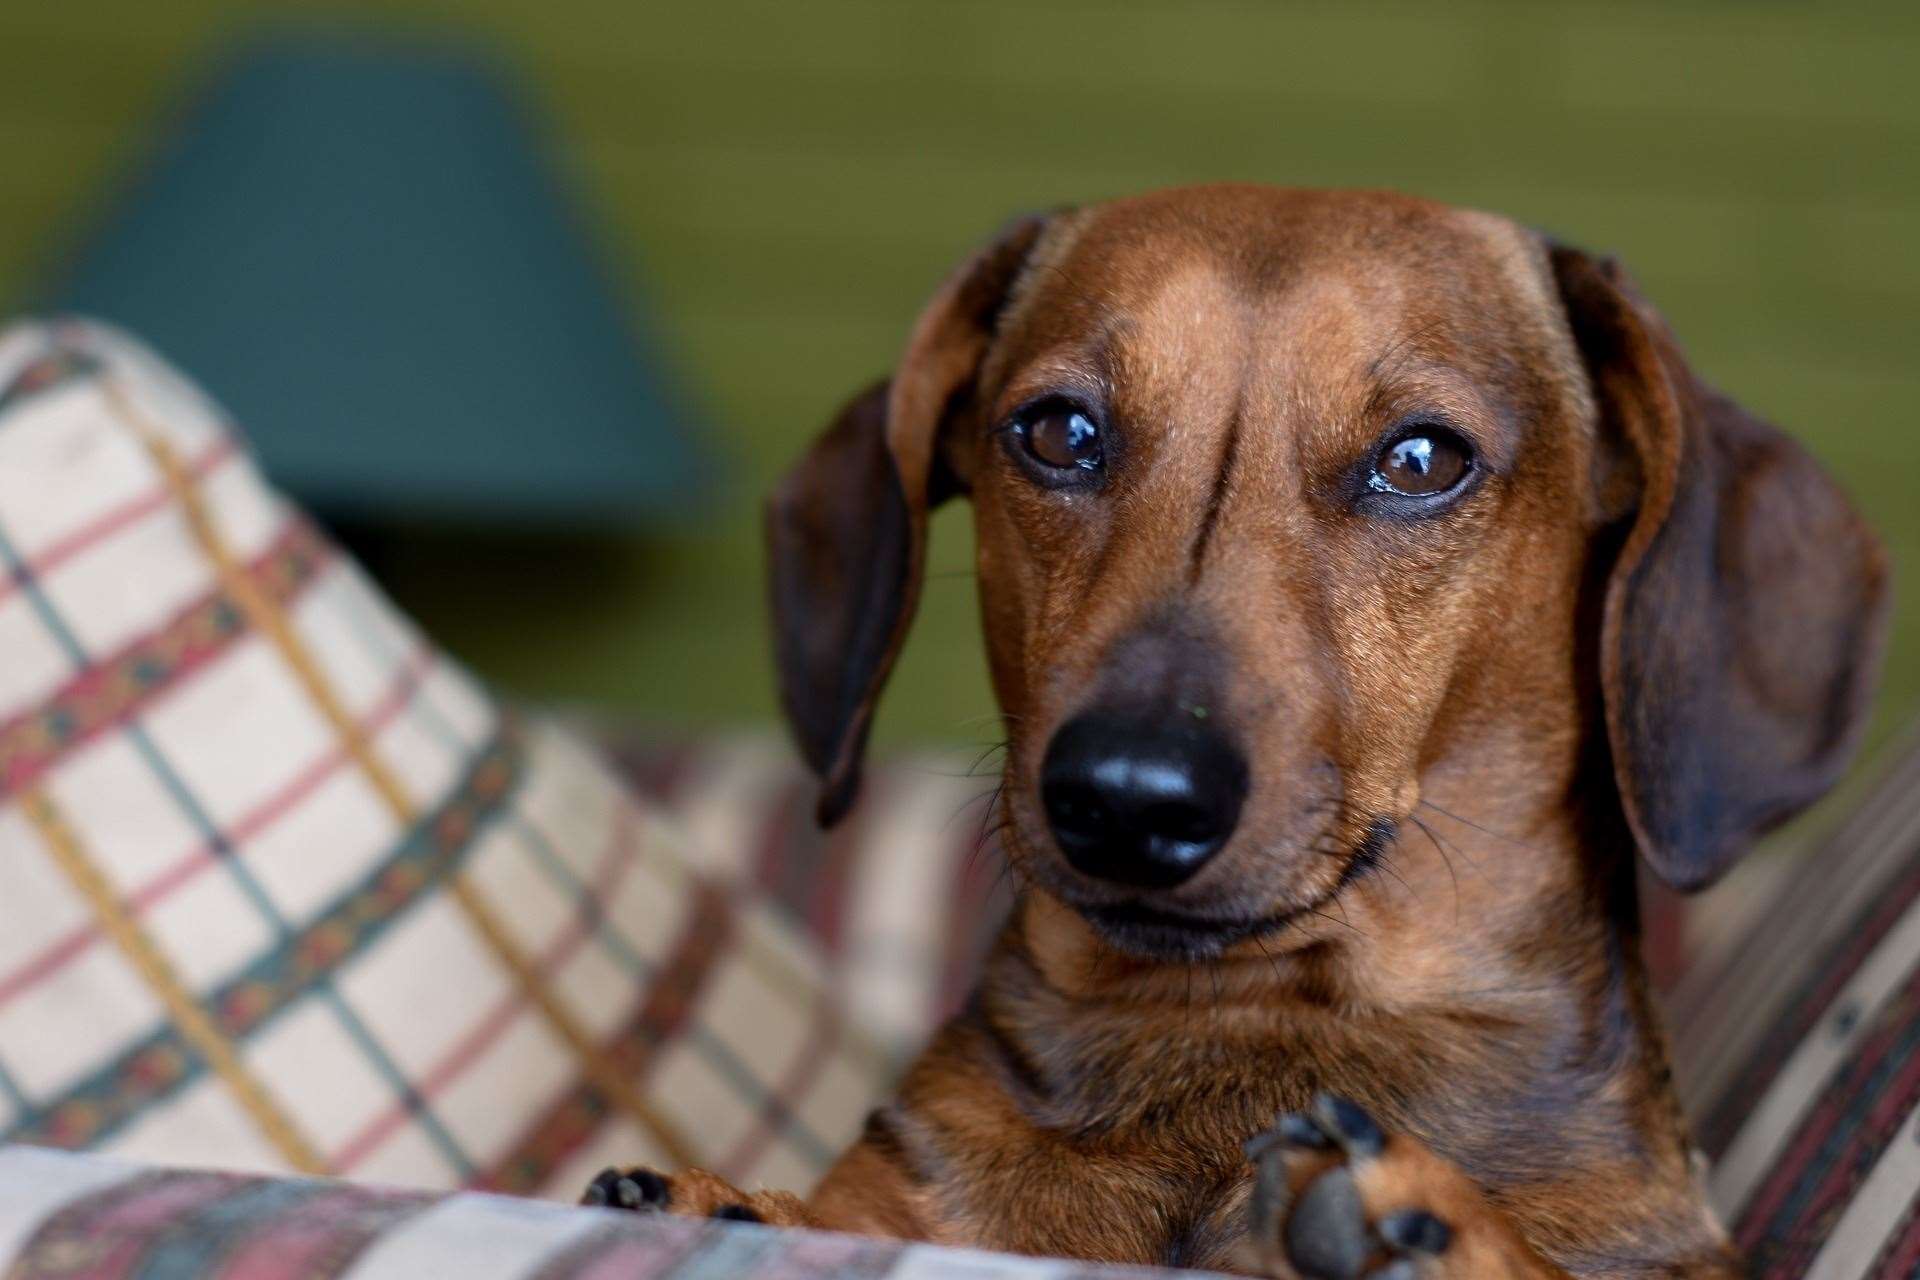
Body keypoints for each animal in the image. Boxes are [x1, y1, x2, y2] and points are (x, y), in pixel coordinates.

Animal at [583, 182, 1889, 1280]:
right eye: (1057, 431)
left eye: (1423, 457)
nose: (1127, 795)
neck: (1239, 1030)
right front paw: (726, 1200)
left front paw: (1438, 1224)